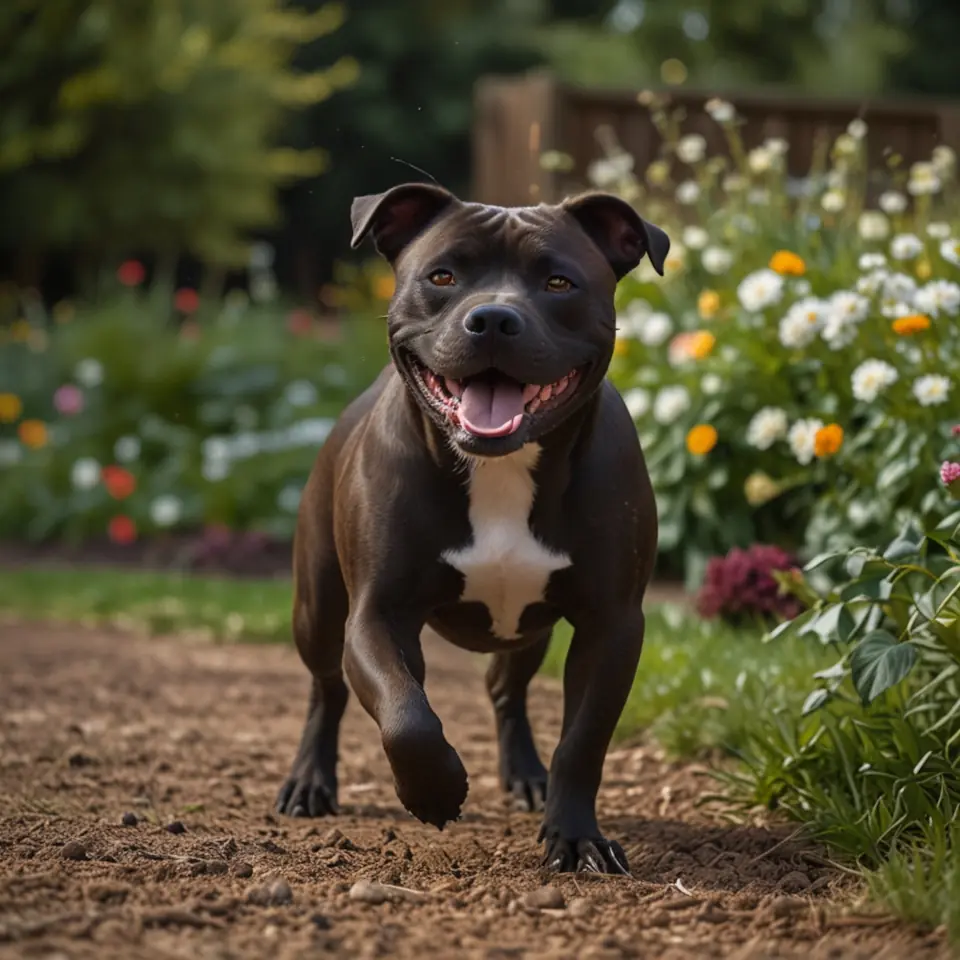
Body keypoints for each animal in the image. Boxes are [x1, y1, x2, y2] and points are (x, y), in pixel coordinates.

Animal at [278, 182, 668, 876]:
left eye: (559, 282)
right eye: (442, 276)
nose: (492, 319)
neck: (500, 469)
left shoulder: (612, 624)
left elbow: (584, 740)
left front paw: (575, 836)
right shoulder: (377, 615)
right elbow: (406, 713)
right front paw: (434, 792)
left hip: (528, 630)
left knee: (505, 688)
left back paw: (526, 777)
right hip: (318, 607)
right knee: (327, 688)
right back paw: (309, 781)